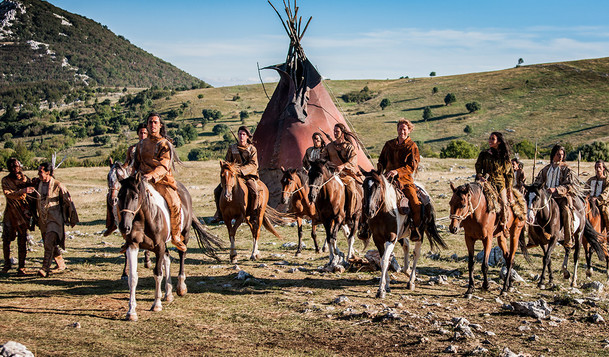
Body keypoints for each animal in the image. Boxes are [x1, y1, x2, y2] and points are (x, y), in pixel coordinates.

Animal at [116, 172, 221, 320]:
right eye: (119, 196)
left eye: (135, 197)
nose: (124, 227)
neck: (146, 219)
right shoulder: (133, 245)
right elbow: (133, 277)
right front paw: (131, 311)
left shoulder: (159, 246)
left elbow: (158, 274)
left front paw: (157, 304)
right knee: (167, 259)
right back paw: (168, 293)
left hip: (184, 234)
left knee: (182, 254)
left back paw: (180, 287)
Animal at [360, 170, 446, 298]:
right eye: (363, 186)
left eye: (378, 186)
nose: (369, 211)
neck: (384, 212)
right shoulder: (378, 239)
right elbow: (382, 260)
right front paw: (387, 285)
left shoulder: (391, 238)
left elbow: (385, 260)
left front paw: (381, 290)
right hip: (402, 234)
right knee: (406, 245)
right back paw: (407, 271)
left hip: (419, 233)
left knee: (416, 253)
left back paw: (411, 281)